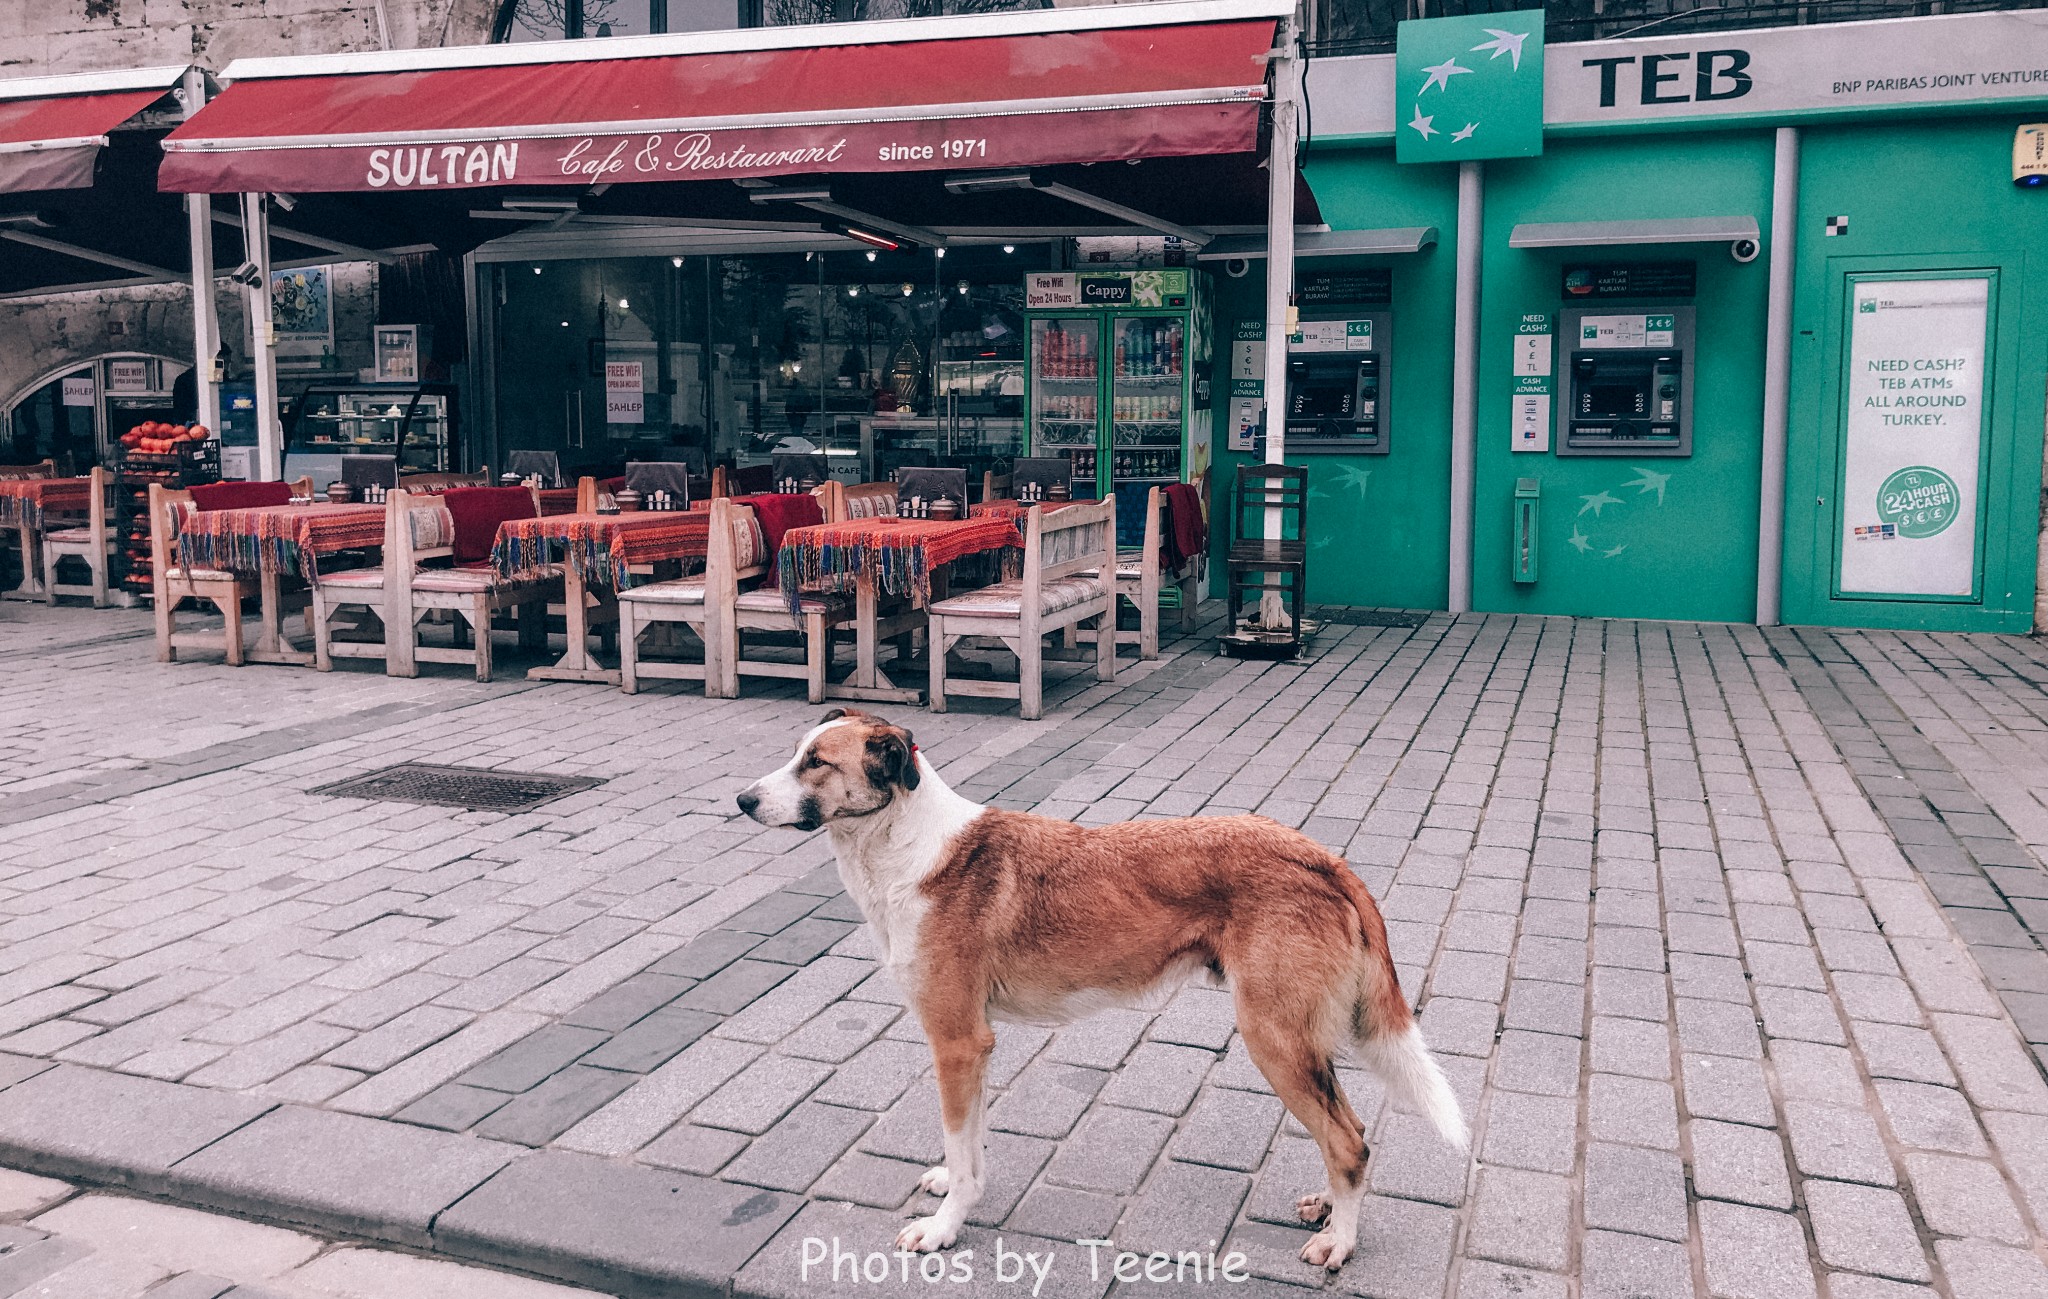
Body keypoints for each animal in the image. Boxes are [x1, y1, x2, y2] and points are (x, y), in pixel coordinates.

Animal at [745, 708, 1466, 1262]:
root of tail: (1321, 857)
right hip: (1300, 1043)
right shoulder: (975, 1047)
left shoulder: (956, 1040)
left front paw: (946, 1227)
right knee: (1350, 1131)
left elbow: (962, 1141)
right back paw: (1329, 1208)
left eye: (816, 762)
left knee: (1347, 1139)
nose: (742, 800)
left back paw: (1340, 1241)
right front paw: (956, 1181)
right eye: (797, 754)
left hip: (1275, 1039)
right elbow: (970, 1140)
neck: (906, 844)